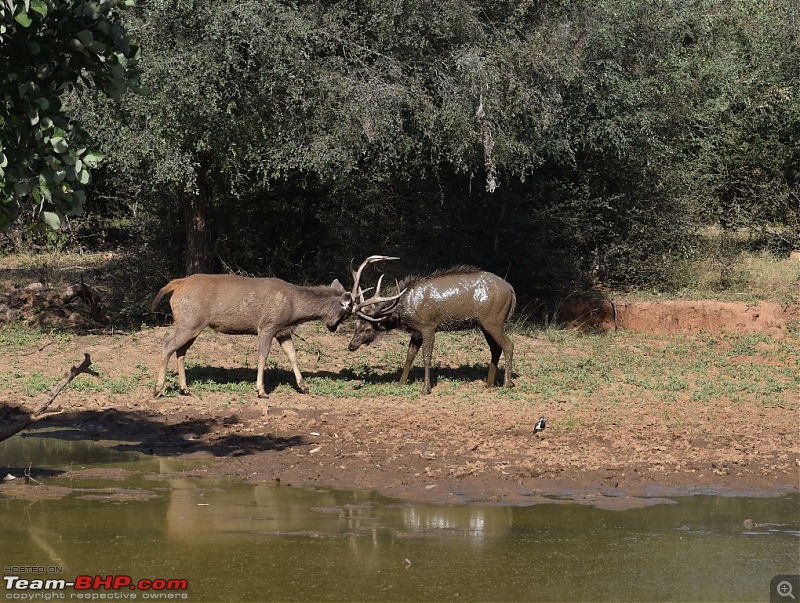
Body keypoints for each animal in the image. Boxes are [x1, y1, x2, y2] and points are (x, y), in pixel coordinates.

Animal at [150, 258, 400, 398]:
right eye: (348, 312)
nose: (332, 327)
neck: (294, 308)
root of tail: (176, 285)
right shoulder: (267, 326)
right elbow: (262, 357)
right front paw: (261, 391)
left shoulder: (283, 330)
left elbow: (293, 356)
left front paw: (304, 387)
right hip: (188, 321)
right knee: (167, 345)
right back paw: (158, 388)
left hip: (193, 325)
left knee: (181, 351)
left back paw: (185, 389)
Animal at [346, 268, 516, 396]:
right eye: (356, 324)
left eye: (368, 328)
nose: (351, 346)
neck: (403, 311)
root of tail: (511, 289)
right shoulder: (416, 332)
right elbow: (409, 356)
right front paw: (401, 383)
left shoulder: (428, 326)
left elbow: (426, 357)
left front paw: (425, 388)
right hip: (484, 323)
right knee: (496, 348)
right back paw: (489, 383)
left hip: (494, 320)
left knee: (509, 345)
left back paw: (506, 384)